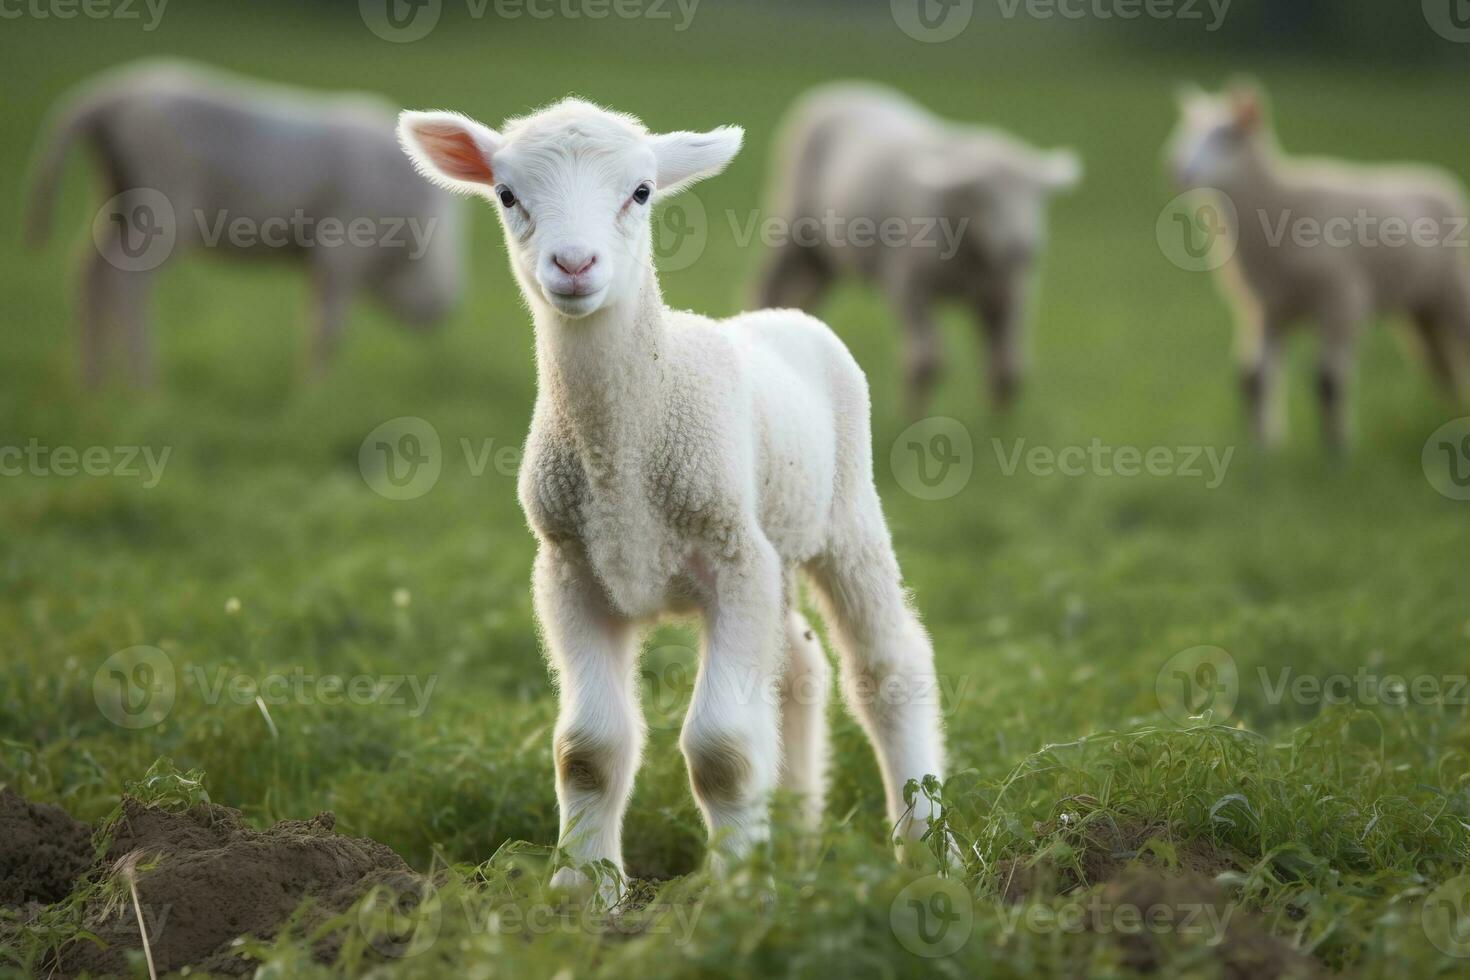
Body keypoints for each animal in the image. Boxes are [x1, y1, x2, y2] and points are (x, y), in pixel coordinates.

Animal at [28, 58, 464, 390]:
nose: (446, 310)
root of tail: (110, 98)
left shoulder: (320, 260)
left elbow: (315, 322)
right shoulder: (343, 247)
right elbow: (328, 330)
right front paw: (316, 393)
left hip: (116, 193)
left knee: (88, 270)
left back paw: (93, 386)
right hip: (161, 203)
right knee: (123, 281)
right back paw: (145, 388)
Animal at [399, 99, 952, 905]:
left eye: (641, 192)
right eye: (506, 195)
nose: (574, 265)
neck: (623, 461)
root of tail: (782, 316)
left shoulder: (730, 559)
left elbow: (723, 749)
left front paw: (734, 895)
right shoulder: (568, 570)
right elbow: (587, 750)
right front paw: (583, 891)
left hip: (843, 515)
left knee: (888, 666)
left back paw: (931, 855)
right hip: (773, 547)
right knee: (800, 665)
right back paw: (796, 837)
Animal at [758, 83, 1081, 417]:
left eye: (1037, 197)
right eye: (982, 198)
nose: (1022, 247)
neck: (972, 260)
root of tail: (842, 88)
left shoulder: (1008, 294)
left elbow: (1008, 368)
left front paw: (1000, 422)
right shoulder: (908, 286)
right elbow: (926, 361)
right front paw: (915, 417)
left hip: (825, 258)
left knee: (804, 301)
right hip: (790, 226)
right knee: (766, 287)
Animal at [1164, 84, 1464, 452]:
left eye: (1226, 135)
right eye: (1188, 130)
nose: (1177, 169)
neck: (1277, 202)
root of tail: (1437, 178)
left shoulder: (1341, 301)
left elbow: (1328, 382)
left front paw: (1336, 450)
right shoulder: (1269, 309)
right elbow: (1255, 378)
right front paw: (1263, 448)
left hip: (1455, 292)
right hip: (1423, 306)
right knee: (1439, 361)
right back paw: (1450, 410)